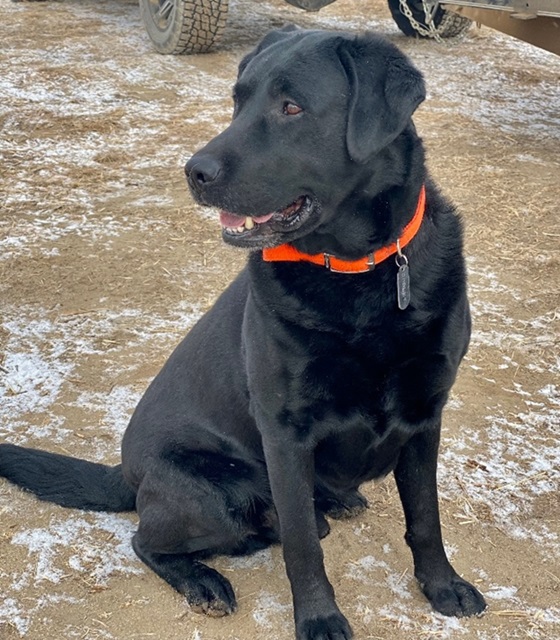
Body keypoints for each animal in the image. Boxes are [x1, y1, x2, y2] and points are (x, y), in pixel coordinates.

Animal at [1, 27, 486, 640]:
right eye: (238, 101)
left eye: (291, 107)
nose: (195, 172)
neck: (357, 273)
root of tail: (127, 473)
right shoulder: (285, 434)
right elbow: (303, 546)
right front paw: (320, 617)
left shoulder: (426, 414)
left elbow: (425, 517)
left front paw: (443, 585)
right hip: (215, 496)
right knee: (148, 541)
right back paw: (205, 582)